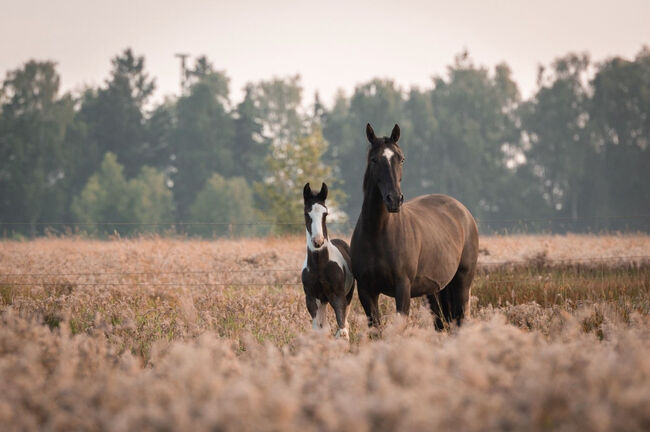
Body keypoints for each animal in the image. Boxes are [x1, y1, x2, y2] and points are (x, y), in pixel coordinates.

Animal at [300, 182, 354, 338]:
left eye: (325, 213)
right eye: (306, 213)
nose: (318, 241)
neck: (320, 264)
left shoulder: (338, 297)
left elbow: (342, 328)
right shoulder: (311, 298)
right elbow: (319, 329)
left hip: (348, 296)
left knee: (346, 324)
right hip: (323, 301)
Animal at [350, 123, 476, 330]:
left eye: (401, 159)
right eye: (374, 160)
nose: (394, 199)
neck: (378, 232)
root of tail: (464, 212)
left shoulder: (403, 288)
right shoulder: (366, 291)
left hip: (462, 283)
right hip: (435, 290)